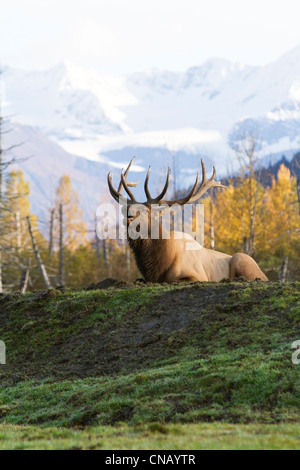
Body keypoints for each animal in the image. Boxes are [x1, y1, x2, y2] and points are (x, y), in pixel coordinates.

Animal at [107, 158, 268, 282]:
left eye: (146, 211)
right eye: (125, 209)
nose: (129, 217)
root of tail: (264, 274)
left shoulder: (198, 276)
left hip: (241, 259)